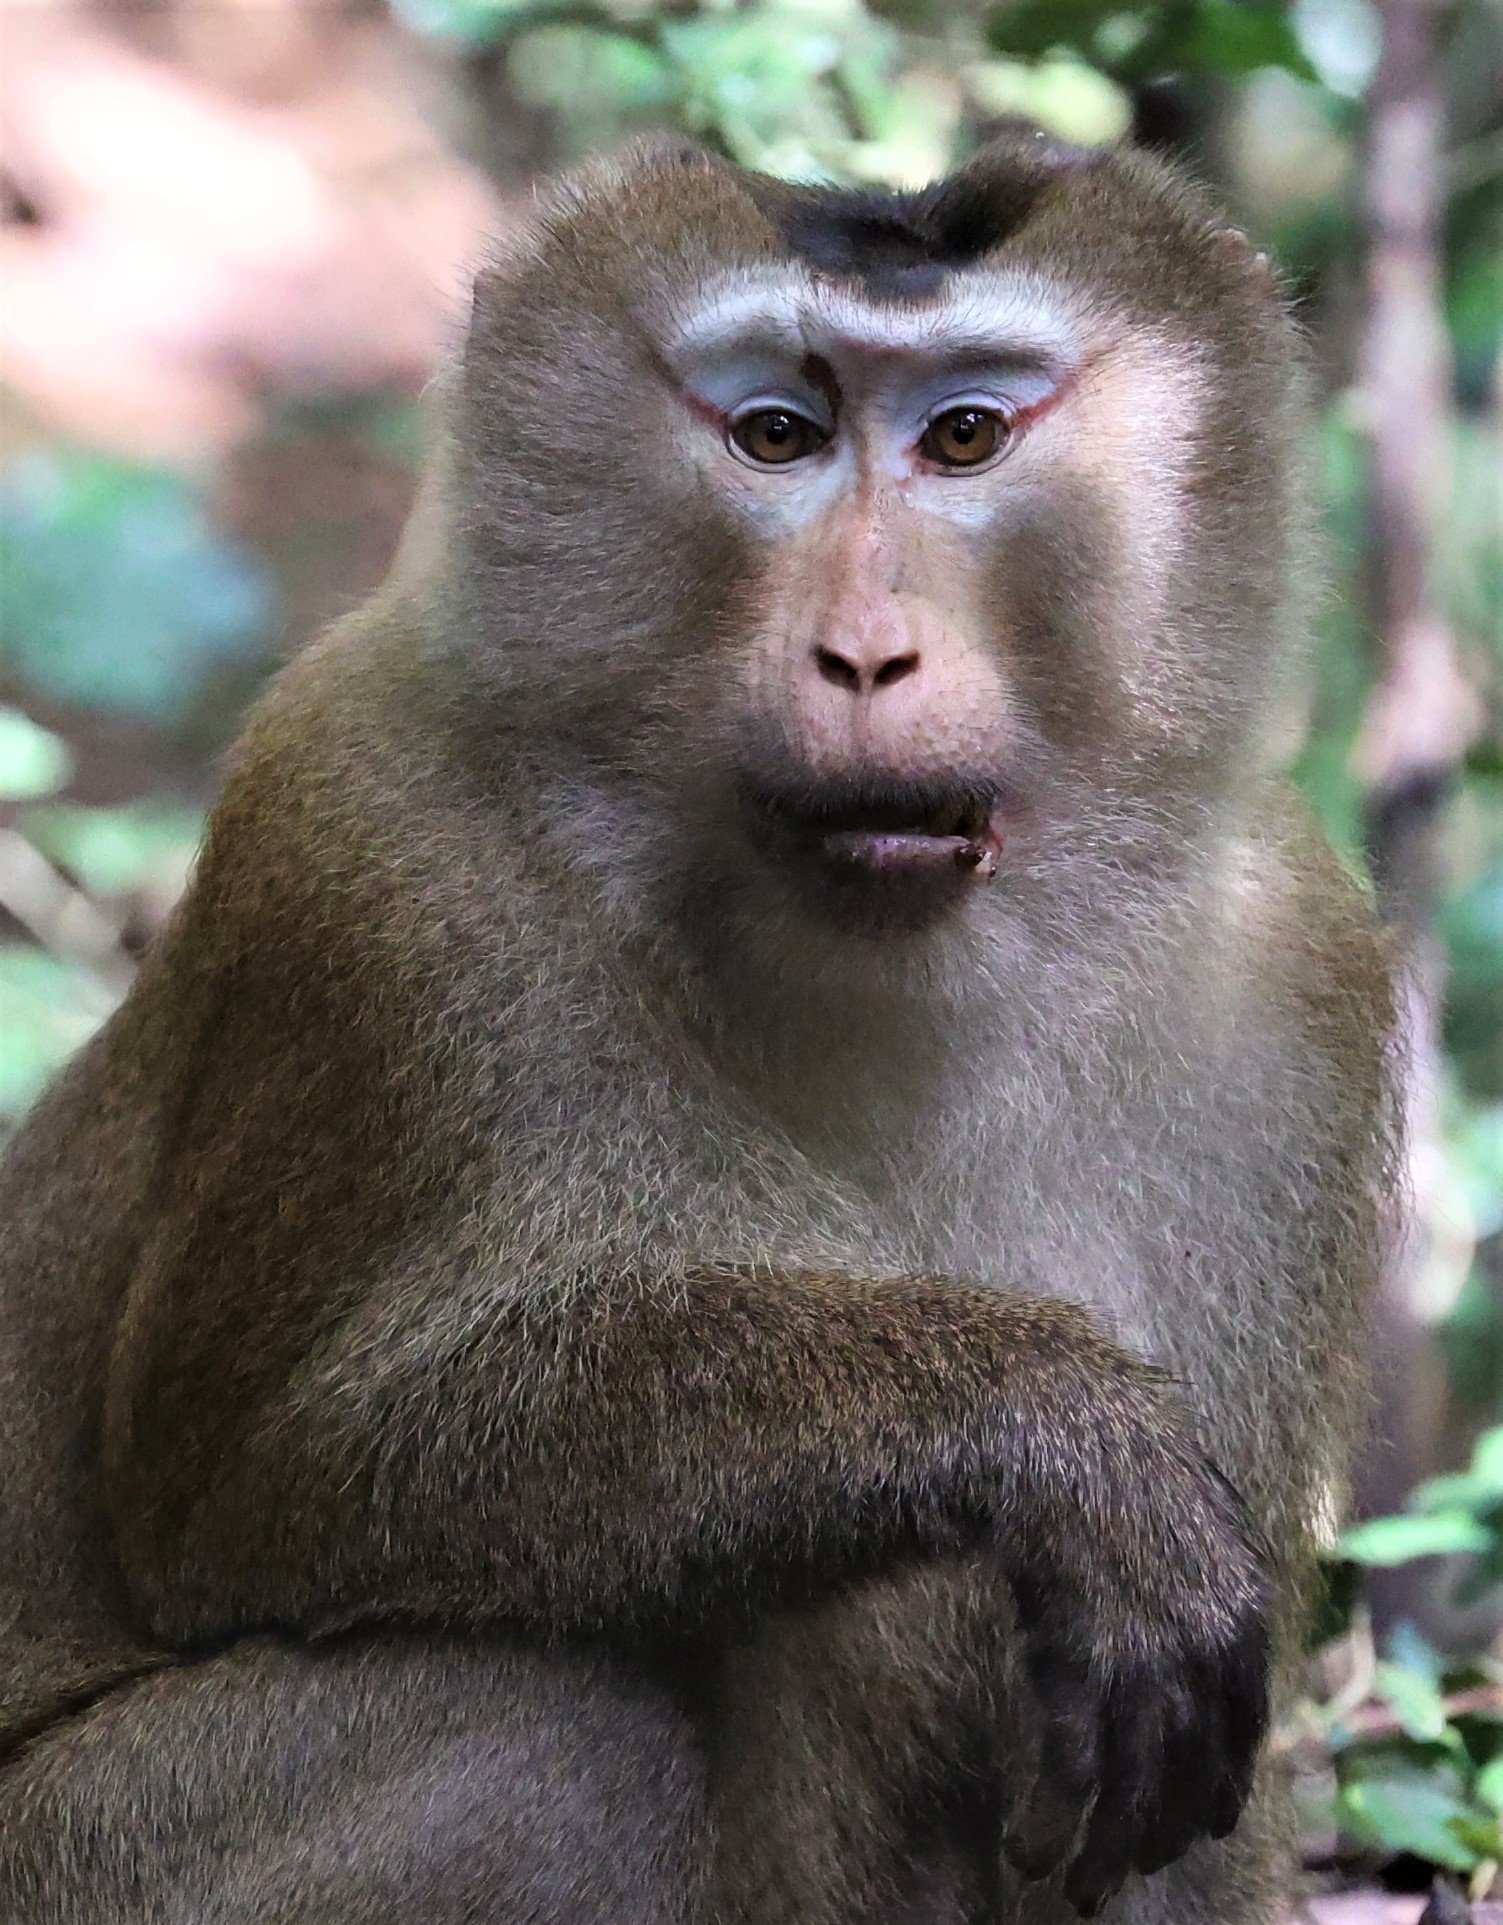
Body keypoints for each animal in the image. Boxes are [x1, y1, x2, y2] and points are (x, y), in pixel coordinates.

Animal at [0, 131, 1395, 1925]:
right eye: (773, 435)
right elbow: (248, 1486)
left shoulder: (1286, 978)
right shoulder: (369, 855)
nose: (863, 653)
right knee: (560, 1740)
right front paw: (1052, 1433)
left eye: (963, 436)